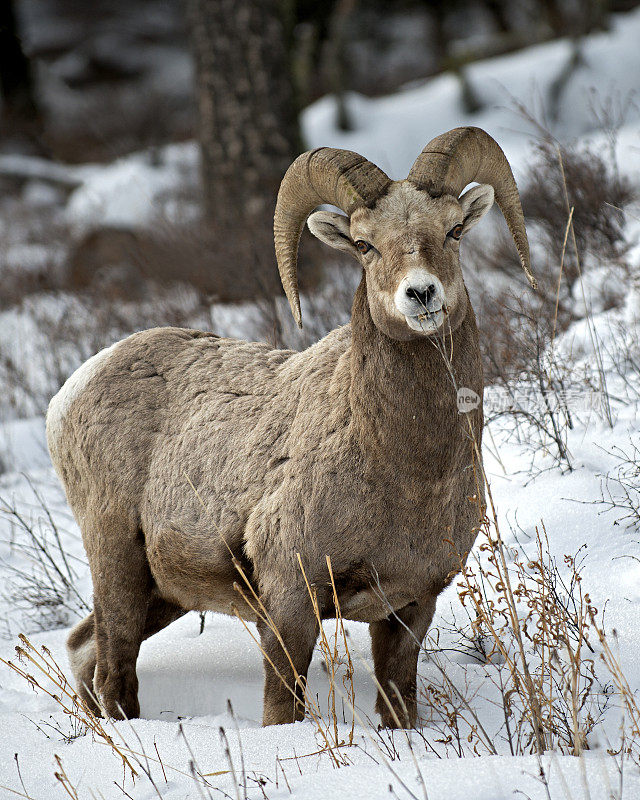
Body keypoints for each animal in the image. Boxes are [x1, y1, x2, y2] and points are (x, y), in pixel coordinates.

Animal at [46, 123, 536, 724]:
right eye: (365, 245)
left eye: (453, 231)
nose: (421, 294)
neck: (408, 471)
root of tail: (72, 390)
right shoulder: (288, 600)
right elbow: (283, 706)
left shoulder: (410, 607)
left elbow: (399, 705)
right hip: (117, 560)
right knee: (114, 671)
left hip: (161, 594)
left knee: (83, 649)